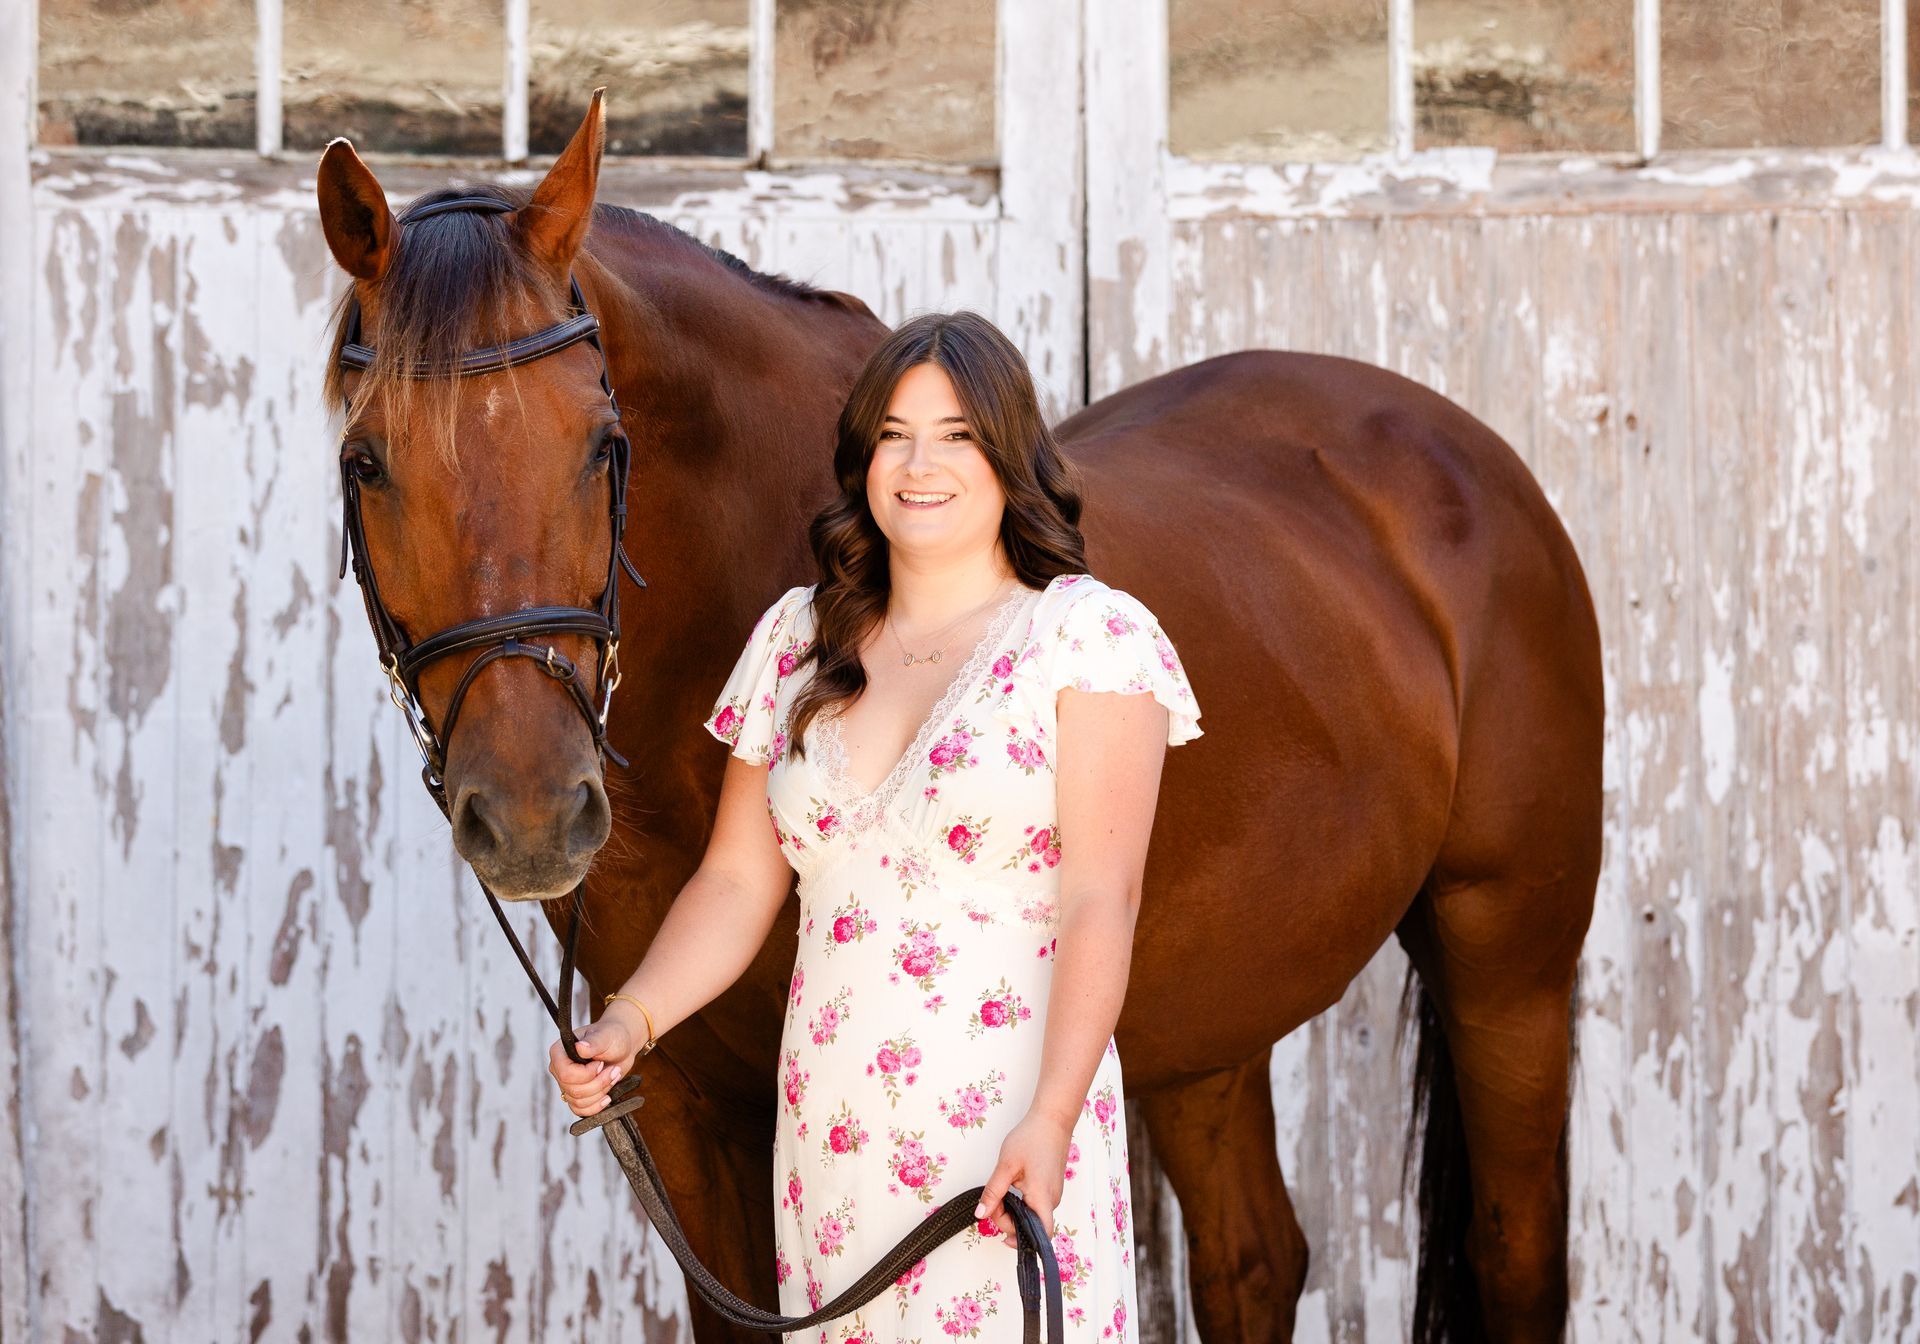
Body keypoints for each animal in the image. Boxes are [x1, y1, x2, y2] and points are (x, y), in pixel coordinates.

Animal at [316, 92, 1602, 1343]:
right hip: (1210, 1021)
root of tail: (1457, 450)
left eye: (603, 444)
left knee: (1514, 1252)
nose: (533, 812)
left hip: (1510, 963)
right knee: (1254, 1264)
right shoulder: (678, 1104)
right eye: (366, 463)